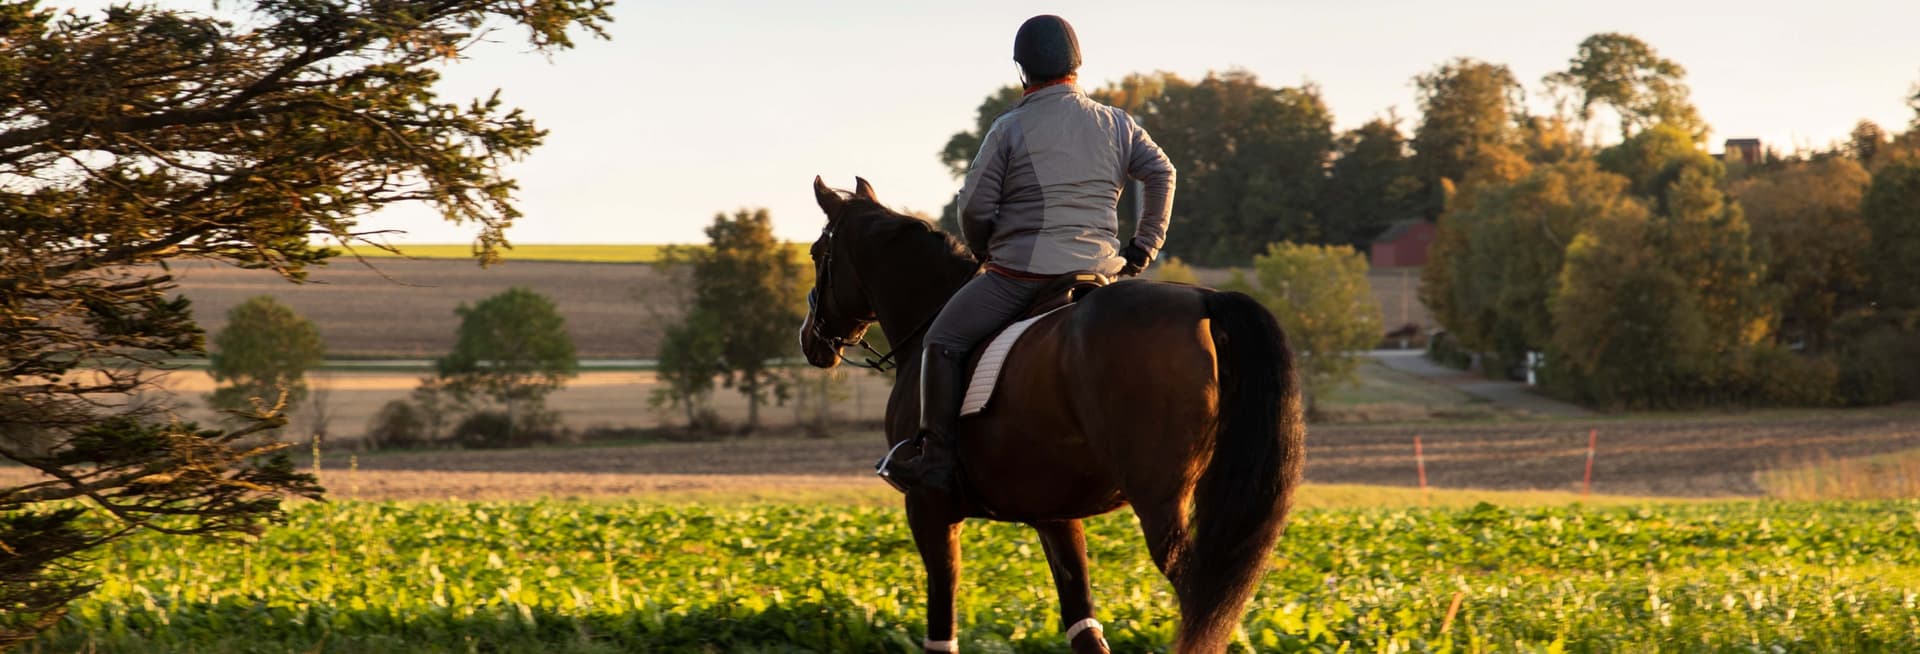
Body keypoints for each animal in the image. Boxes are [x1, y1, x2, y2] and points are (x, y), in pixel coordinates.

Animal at [800, 176, 1305, 654]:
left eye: (816, 253)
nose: (810, 339)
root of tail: (1202, 300)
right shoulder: (1056, 517)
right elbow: (1085, 628)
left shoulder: (928, 508)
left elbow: (942, 629)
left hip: (1162, 506)